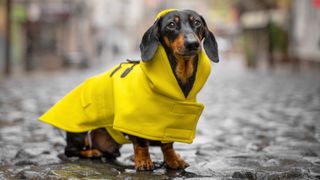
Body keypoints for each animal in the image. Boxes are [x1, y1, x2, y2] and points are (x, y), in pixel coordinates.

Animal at [39, 9, 218, 171]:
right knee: (70, 151)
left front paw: (173, 160)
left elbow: (168, 145)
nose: (192, 44)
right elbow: (141, 143)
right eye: (171, 25)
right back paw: (92, 153)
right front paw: (144, 161)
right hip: (81, 133)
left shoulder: (169, 123)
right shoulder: (135, 121)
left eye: (197, 23)